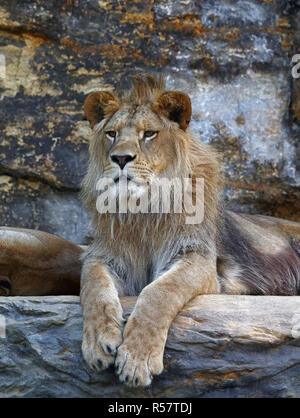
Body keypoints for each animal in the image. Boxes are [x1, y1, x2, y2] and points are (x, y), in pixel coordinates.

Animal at [0, 74, 300, 388]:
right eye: (112, 134)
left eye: (149, 134)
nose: (121, 158)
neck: (141, 209)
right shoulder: (105, 257)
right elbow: (93, 288)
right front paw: (98, 342)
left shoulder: (199, 260)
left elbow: (160, 292)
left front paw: (137, 359)